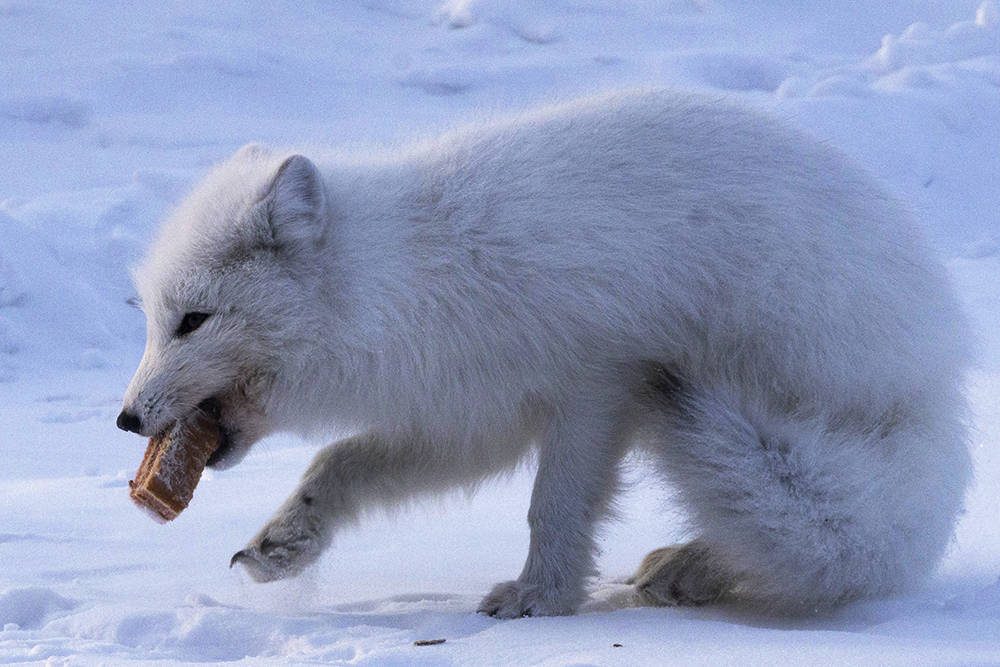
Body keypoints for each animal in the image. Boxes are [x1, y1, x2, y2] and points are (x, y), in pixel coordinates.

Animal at [117, 91, 968, 620]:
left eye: (194, 321)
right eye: (154, 322)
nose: (125, 418)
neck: (414, 279)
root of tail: (940, 409)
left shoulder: (597, 386)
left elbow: (552, 506)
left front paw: (541, 598)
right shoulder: (472, 414)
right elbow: (340, 463)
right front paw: (284, 543)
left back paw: (698, 566)